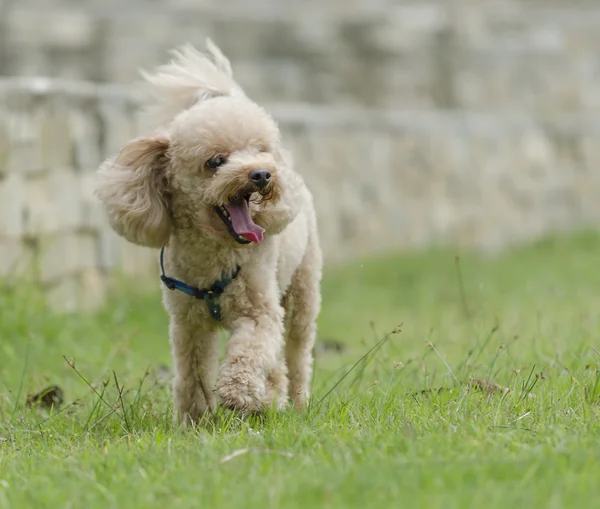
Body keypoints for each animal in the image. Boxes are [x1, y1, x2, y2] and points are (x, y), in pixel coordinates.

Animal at [97, 39, 324, 422]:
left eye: (259, 151)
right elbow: (192, 372)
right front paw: (193, 419)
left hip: (301, 293)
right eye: (215, 162)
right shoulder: (189, 325)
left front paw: (237, 395)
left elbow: (248, 353)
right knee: (277, 365)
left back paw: (295, 403)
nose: (262, 173)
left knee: (296, 353)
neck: (216, 254)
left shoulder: (259, 314)